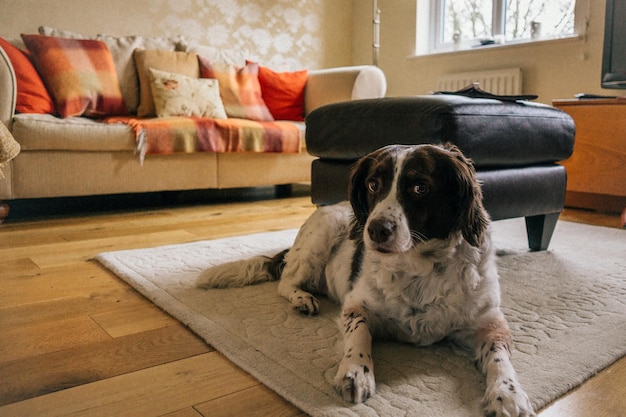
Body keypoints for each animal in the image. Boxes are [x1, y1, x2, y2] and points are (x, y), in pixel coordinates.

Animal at [197, 144, 532, 416]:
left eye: (420, 187)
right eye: (373, 184)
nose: (376, 230)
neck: (419, 267)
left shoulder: (489, 323)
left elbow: (500, 357)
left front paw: (507, 394)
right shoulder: (356, 305)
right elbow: (360, 332)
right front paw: (356, 371)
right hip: (322, 234)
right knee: (286, 281)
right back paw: (303, 299)